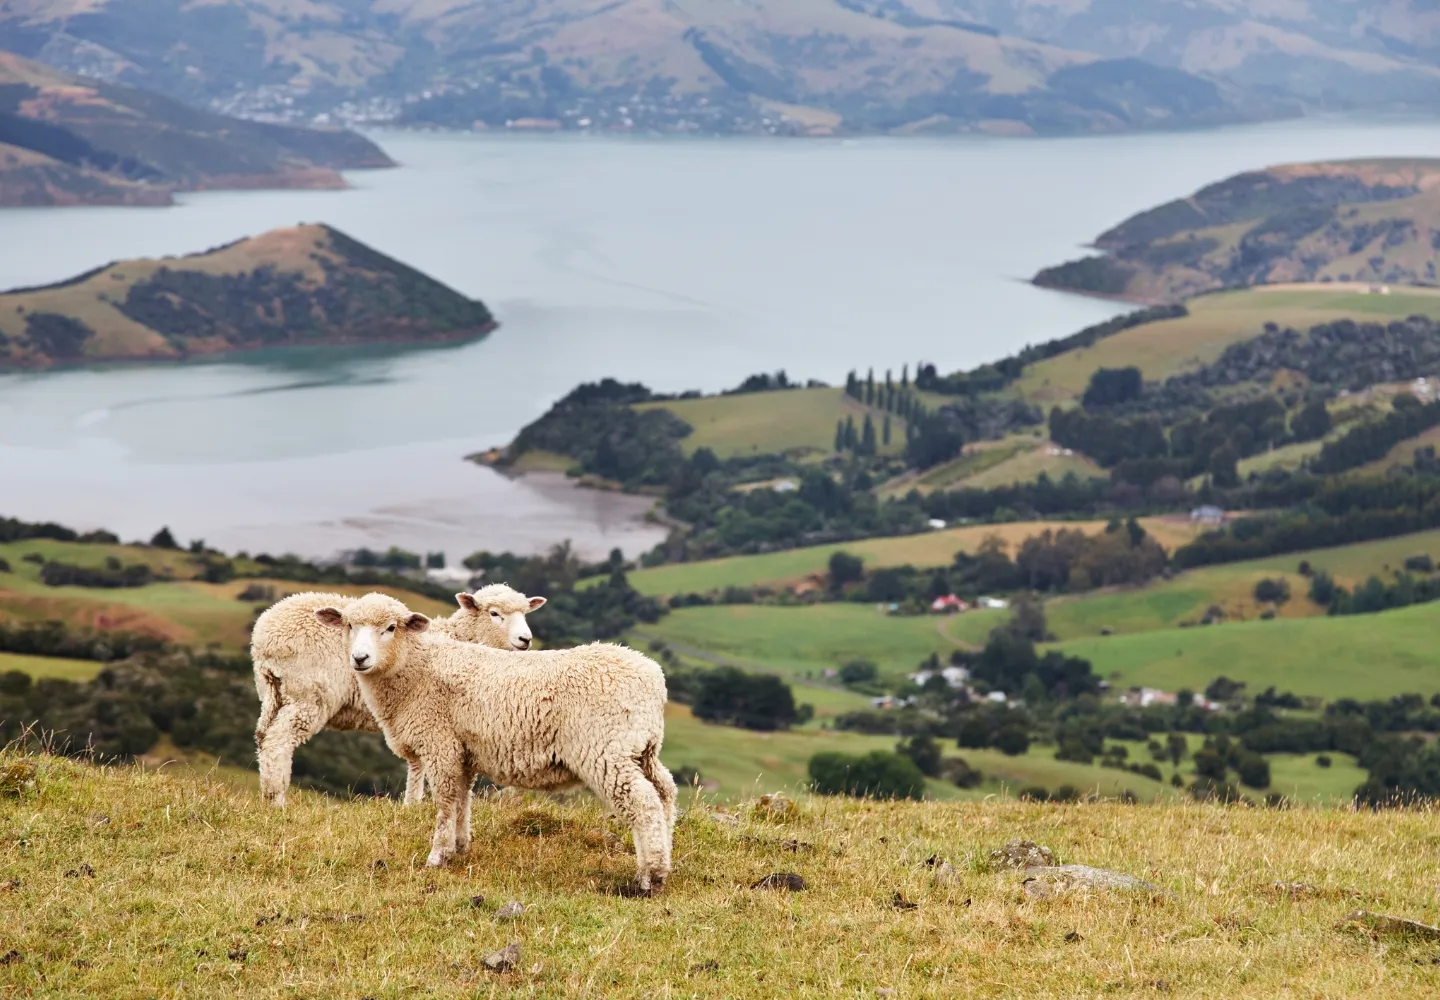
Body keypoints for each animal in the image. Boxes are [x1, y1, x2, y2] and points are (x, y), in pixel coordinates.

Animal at [247, 587, 544, 806]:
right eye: (494, 613)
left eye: (525, 612)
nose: (525, 640)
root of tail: (265, 635)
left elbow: (417, 762)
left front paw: (413, 803)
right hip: (309, 693)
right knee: (278, 740)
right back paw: (278, 800)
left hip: (273, 691)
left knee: (263, 736)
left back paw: (266, 796)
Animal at [315, 596, 673, 893]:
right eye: (349, 626)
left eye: (390, 628)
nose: (359, 658)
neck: (415, 667)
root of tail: (653, 677)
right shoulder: (464, 750)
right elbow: (462, 797)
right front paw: (459, 846)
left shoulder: (440, 743)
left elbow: (445, 800)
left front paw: (437, 855)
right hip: (643, 748)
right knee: (665, 792)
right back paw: (666, 860)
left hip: (607, 749)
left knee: (644, 803)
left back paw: (649, 876)